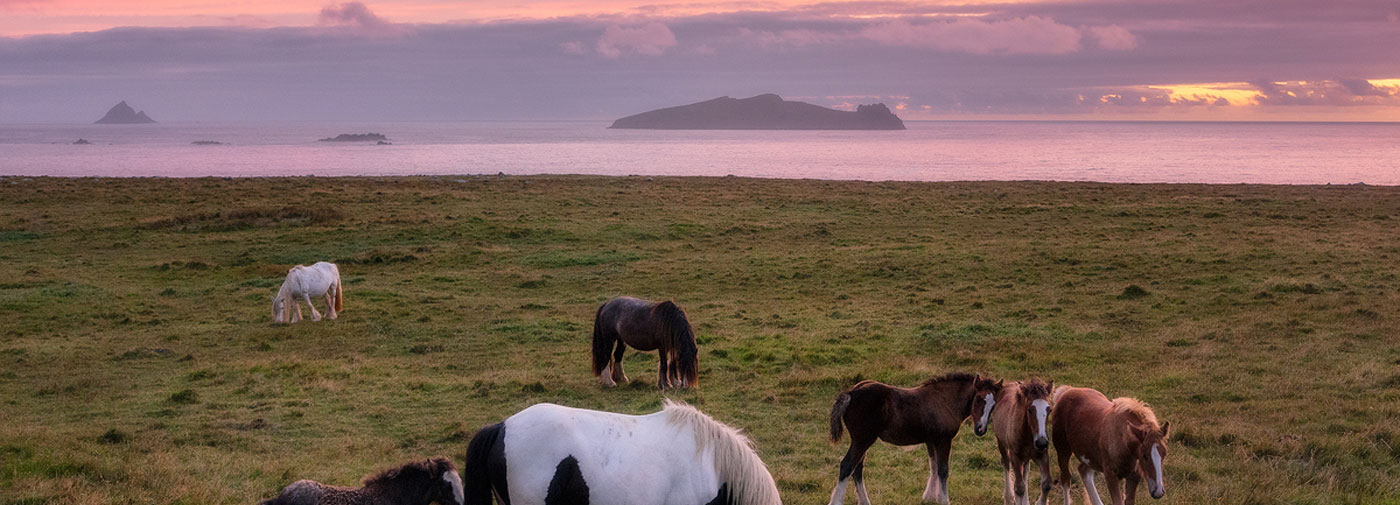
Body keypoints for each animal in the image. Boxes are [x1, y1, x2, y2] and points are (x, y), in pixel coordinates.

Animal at [823, 369, 1002, 503]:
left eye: (994, 405)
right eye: (978, 399)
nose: (981, 429)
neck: (945, 401)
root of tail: (850, 392)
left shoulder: (931, 440)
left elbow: (934, 466)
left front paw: (929, 497)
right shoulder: (943, 440)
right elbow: (943, 470)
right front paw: (944, 500)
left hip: (863, 440)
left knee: (857, 469)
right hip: (863, 439)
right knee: (847, 466)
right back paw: (837, 501)